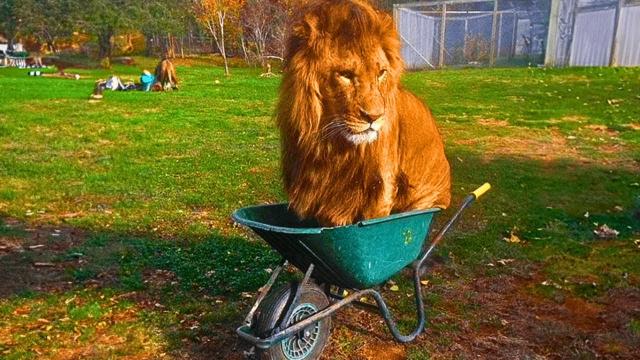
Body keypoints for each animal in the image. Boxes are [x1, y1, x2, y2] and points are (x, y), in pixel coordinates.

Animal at [278, 0, 452, 226]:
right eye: (345, 75)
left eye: (381, 73)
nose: (374, 117)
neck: (334, 147)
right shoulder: (325, 198)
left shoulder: (380, 190)